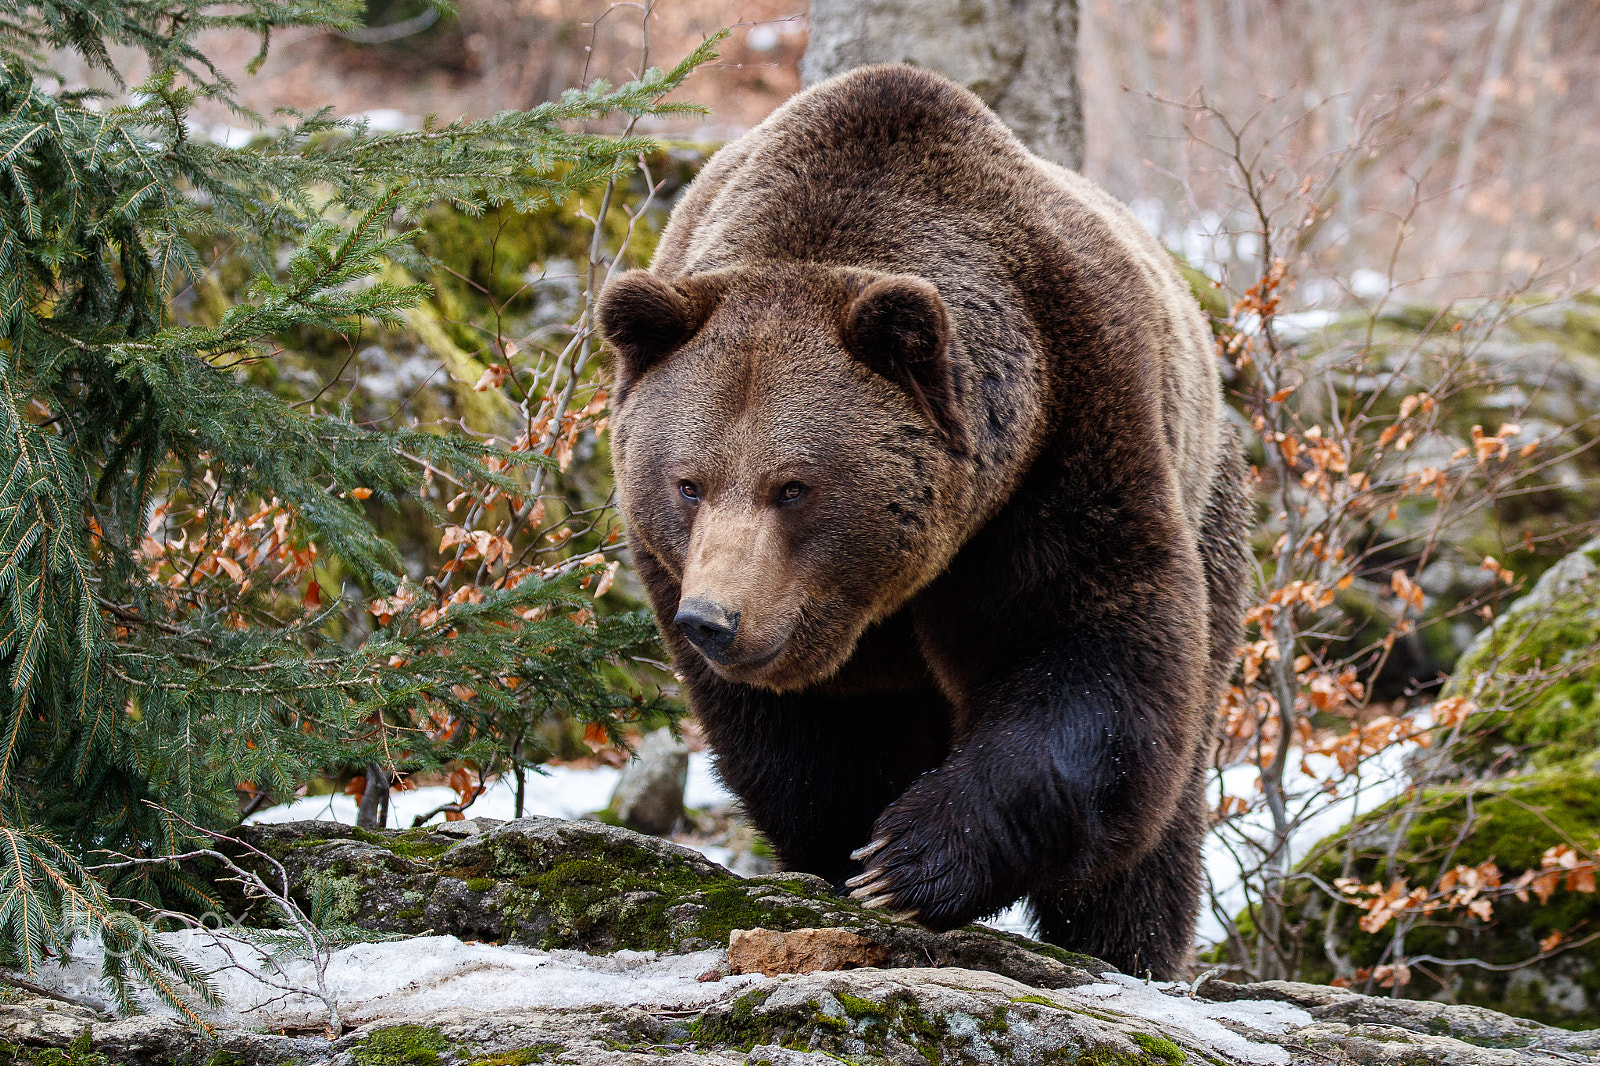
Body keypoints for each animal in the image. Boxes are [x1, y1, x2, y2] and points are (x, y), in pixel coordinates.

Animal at [596, 64, 1250, 979]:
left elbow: (1086, 649)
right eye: (687, 483)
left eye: (793, 487)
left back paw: (1130, 951)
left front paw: (911, 860)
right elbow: (811, 745)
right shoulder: (704, 587)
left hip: (1209, 496)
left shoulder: (1065, 440)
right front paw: (851, 858)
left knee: (1162, 810)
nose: (714, 620)